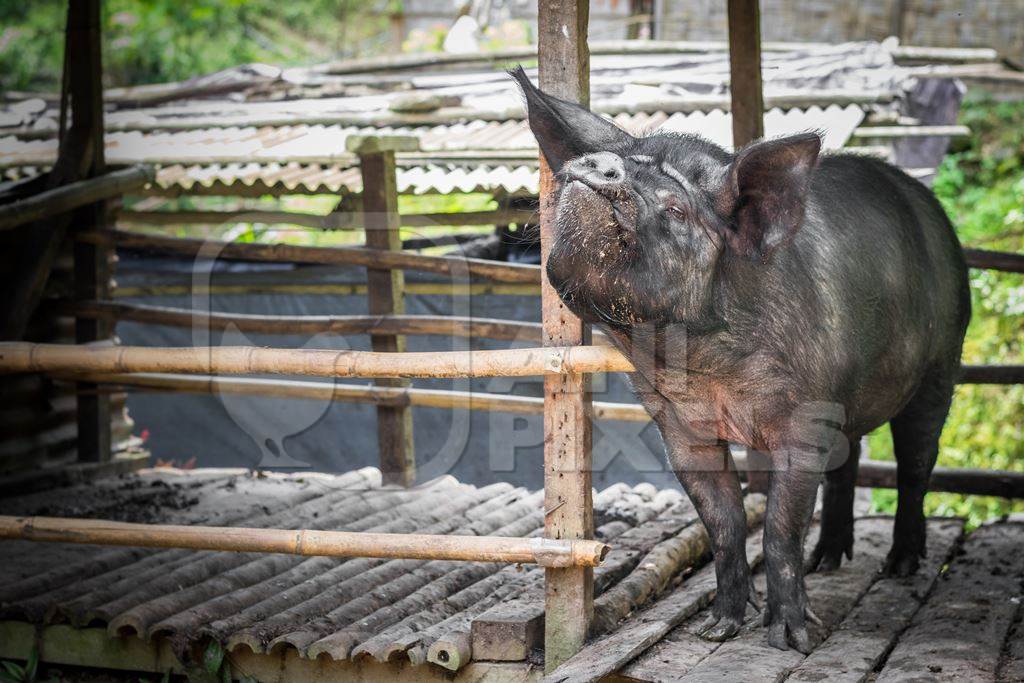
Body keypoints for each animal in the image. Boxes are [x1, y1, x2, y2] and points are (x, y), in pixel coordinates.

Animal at [512, 66, 966, 655]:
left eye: (676, 207)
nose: (594, 164)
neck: (704, 368)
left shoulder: (806, 417)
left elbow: (778, 526)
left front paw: (793, 639)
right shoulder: (679, 428)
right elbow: (723, 525)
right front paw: (718, 629)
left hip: (943, 362)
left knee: (916, 464)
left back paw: (901, 567)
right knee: (848, 463)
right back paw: (827, 561)